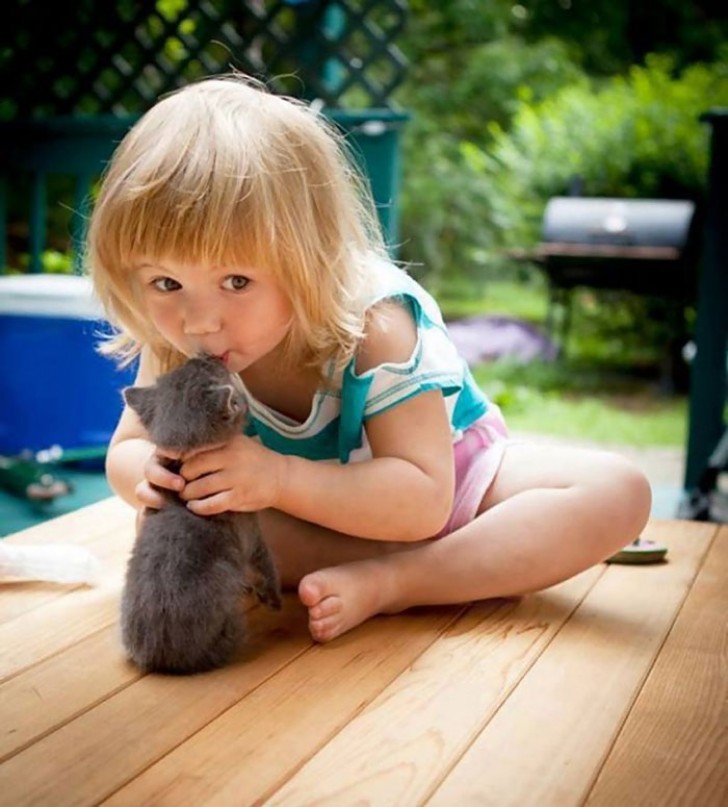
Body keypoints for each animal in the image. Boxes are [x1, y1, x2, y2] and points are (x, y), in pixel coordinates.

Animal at [121, 354, 280, 676]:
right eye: (213, 370)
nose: (206, 355)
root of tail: (158, 660)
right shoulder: (249, 527)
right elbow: (264, 561)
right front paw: (273, 596)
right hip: (228, 624)